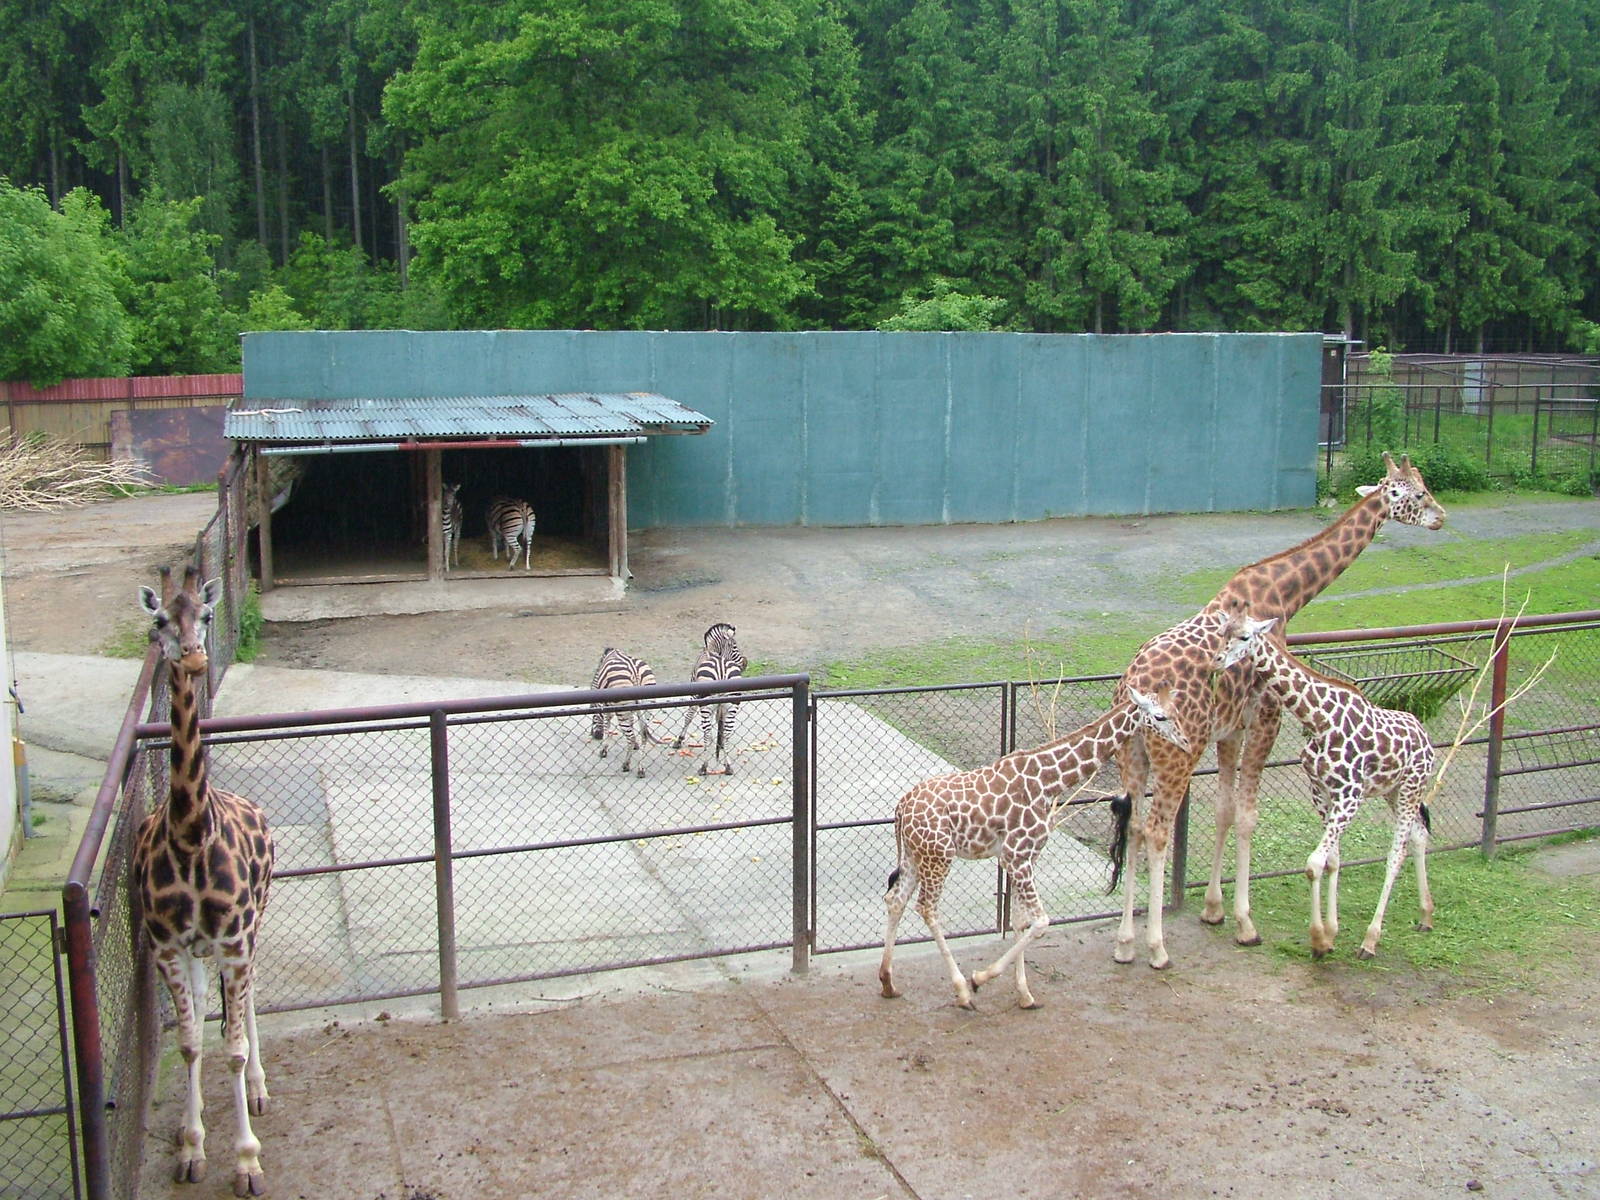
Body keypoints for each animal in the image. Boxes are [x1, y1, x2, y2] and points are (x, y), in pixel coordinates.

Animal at [588, 647, 665, 776]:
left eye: (592, 714)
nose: (595, 735)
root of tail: (635, 673)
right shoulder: (631, 710)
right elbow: (632, 724)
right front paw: (635, 746)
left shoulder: (607, 708)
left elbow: (607, 726)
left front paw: (603, 750)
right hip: (647, 707)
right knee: (643, 734)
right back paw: (641, 769)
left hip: (622, 710)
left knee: (632, 737)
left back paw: (626, 765)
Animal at [672, 622, 747, 775]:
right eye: (735, 646)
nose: (745, 664)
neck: (713, 651)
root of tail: (722, 671)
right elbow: (720, 725)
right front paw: (721, 747)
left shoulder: (695, 694)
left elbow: (688, 716)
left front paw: (679, 740)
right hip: (732, 705)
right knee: (727, 733)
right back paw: (728, 766)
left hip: (706, 704)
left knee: (707, 734)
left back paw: (704, 766)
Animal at [879, 686, 1189, 1010]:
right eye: (1160, 716)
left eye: (1176, 710)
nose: (1185, 742)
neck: (1049, 782)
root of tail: (901, 808)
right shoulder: (1017, 856)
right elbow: (1040, 922)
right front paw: (980, 978)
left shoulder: (1023, 856)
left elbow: (1018, 921)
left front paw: (1025, 995)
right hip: (939, 857)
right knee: (927, 907)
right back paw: (962, 991)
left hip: (915, 855)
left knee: (896, 900)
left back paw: (888, 983)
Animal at [1217, 615, 1435, 959]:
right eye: (1223, 632)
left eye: (1245, 637)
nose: (1217, 660)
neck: (1319, 721)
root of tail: (1427, 740)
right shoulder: (1321, 791)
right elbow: (1332, 860)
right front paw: (1330, 934)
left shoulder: (1350, 795)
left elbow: (1314, 863)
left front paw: (1318, 939)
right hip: (1394, 790)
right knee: (1418, 835)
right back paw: (1426, 915)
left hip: (1411, 787)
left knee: (1395, 853)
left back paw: (1370, 940)